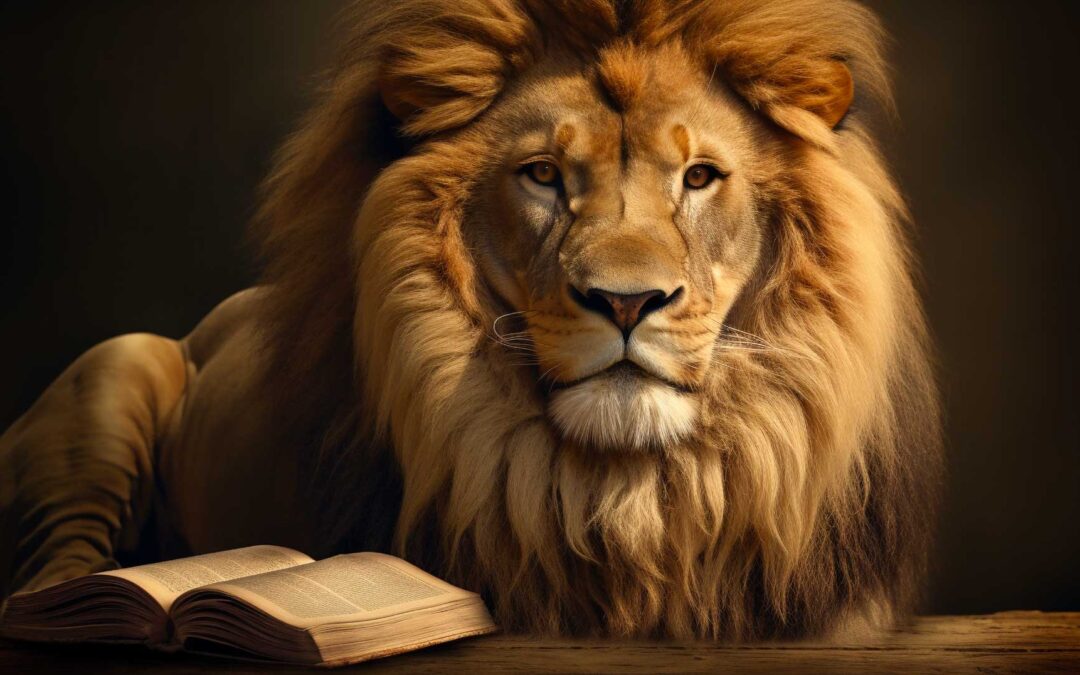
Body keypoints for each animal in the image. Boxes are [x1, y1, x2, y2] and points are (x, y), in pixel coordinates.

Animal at [0, 0, 942, 640]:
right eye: (543, 175)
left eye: (701, 177)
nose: (627, 302)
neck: (628, 498)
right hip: (114, 368)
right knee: (48, 576)